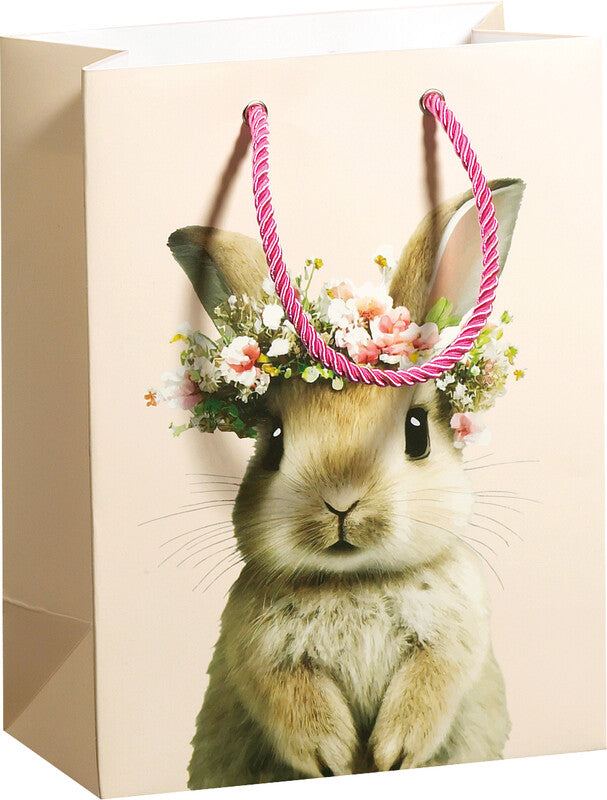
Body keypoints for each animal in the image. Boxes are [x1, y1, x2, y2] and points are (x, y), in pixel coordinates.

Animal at [167, 177, 525, 789]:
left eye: (416, 433)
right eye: (273, 441)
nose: (339, 503)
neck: (354, 580)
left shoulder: (453, 641)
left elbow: (430, 685)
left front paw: (392, 755)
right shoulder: (260, 656)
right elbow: (291, 700)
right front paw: (334, 760)